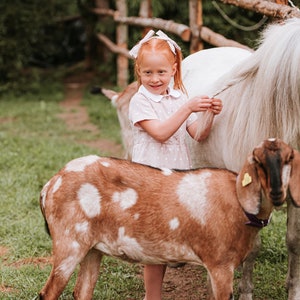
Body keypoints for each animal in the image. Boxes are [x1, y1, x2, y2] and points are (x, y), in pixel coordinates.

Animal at [38, 139, 300, 300]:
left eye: (289, 158)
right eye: (258, 161)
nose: (277, 193)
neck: (237, 200)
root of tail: (50, 185)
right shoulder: (220, 265)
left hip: (92, 249)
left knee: (81, 292)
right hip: (69, 244)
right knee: (48, 293)